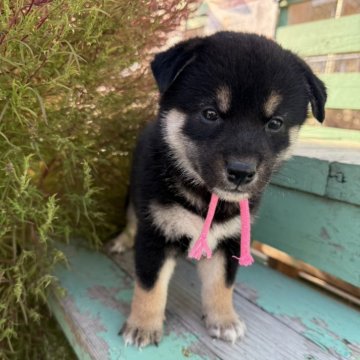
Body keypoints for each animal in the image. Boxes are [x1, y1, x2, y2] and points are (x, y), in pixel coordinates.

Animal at [111, 32, 328, 348]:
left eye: (275, 123)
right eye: (210, 114)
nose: (241, 171)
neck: (206, 196)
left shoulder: (230, 241)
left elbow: (222, 285)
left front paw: (224, 320)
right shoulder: (156, 235)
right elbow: (150, 287)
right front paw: (143, 326)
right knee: (130, 219)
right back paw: (121, 241)